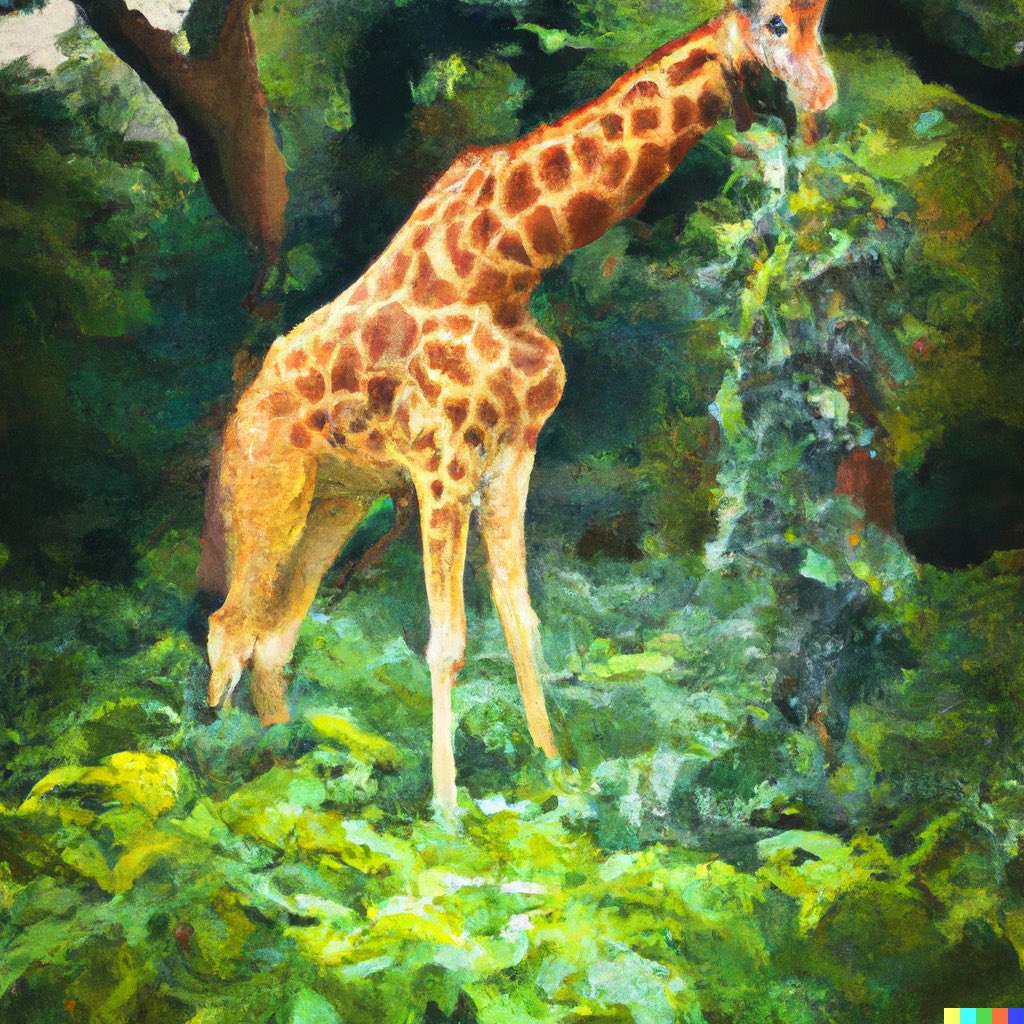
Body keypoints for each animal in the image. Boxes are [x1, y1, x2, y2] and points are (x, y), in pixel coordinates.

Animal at [202, 0, 836, 809]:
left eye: (821, 22)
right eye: (774, 25)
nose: (821, 96)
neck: (511, 262)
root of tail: (238, 413)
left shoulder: (512, 451)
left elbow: (522, 618)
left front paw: (556, 775)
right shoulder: (441, 463)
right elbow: (446, 642)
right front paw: (447, 811)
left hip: (337, 501)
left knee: (275, 635)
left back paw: (286, 766)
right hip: (269, 486)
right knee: (229, 626)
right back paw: (217, 772)